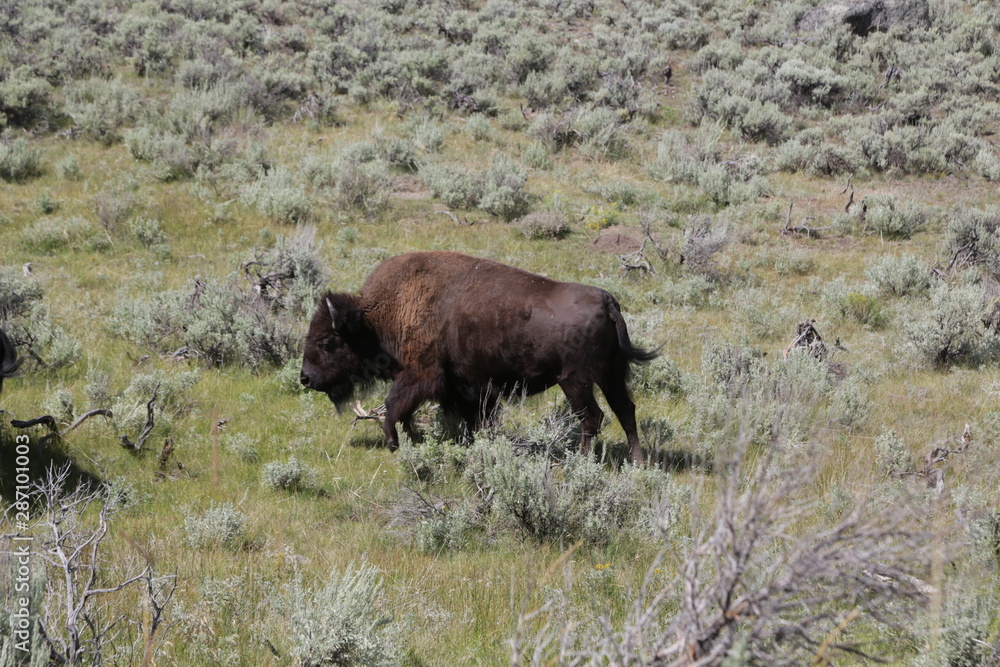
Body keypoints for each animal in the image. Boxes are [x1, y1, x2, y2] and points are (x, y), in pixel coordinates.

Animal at [296, 250, 656, 464]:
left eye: (327, 342)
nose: (305, 377)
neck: (379, 315)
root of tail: (607, 300)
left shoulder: (422, 374)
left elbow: (394, 404)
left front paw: (393, 442)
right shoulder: (465, 388)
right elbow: (464, 417)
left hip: (575, 380)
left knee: (592, 416)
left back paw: (580, 461)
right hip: (611, 373)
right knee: (625, 409)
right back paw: (638, 462)